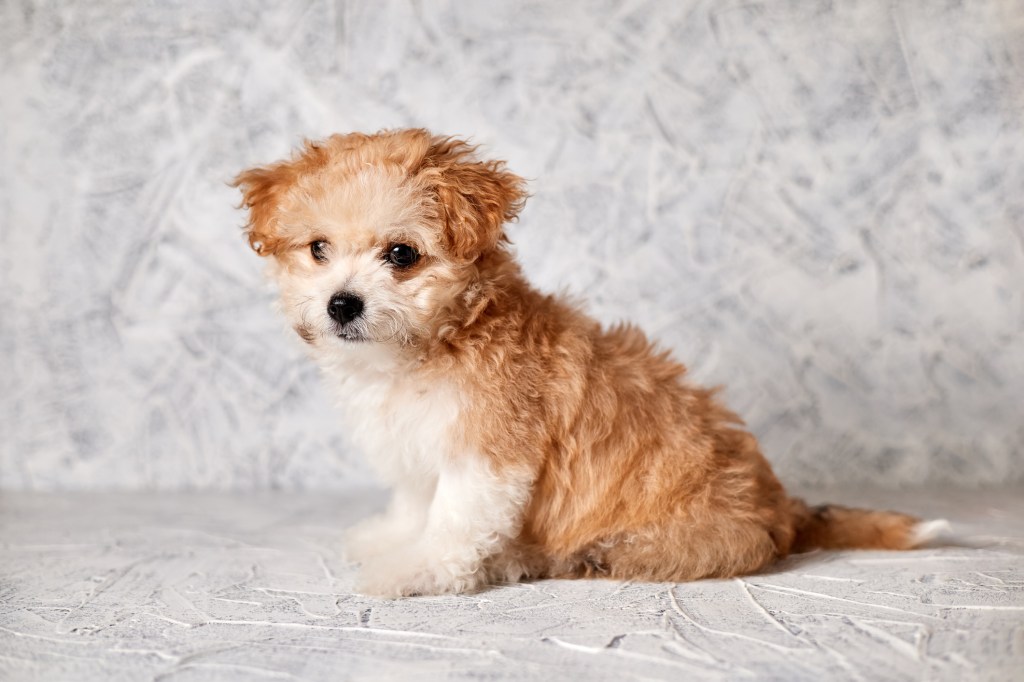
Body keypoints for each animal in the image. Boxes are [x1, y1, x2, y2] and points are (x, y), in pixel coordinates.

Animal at [234, 129, 942, 593]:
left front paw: (418, 569)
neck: (434, 344)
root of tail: (781, 507)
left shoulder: (488, 454)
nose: (342, 304)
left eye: (401, 255)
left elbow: (454, 520)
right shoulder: (419, 442)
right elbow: (417, 500)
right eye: (318, 249)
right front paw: (393, 537)